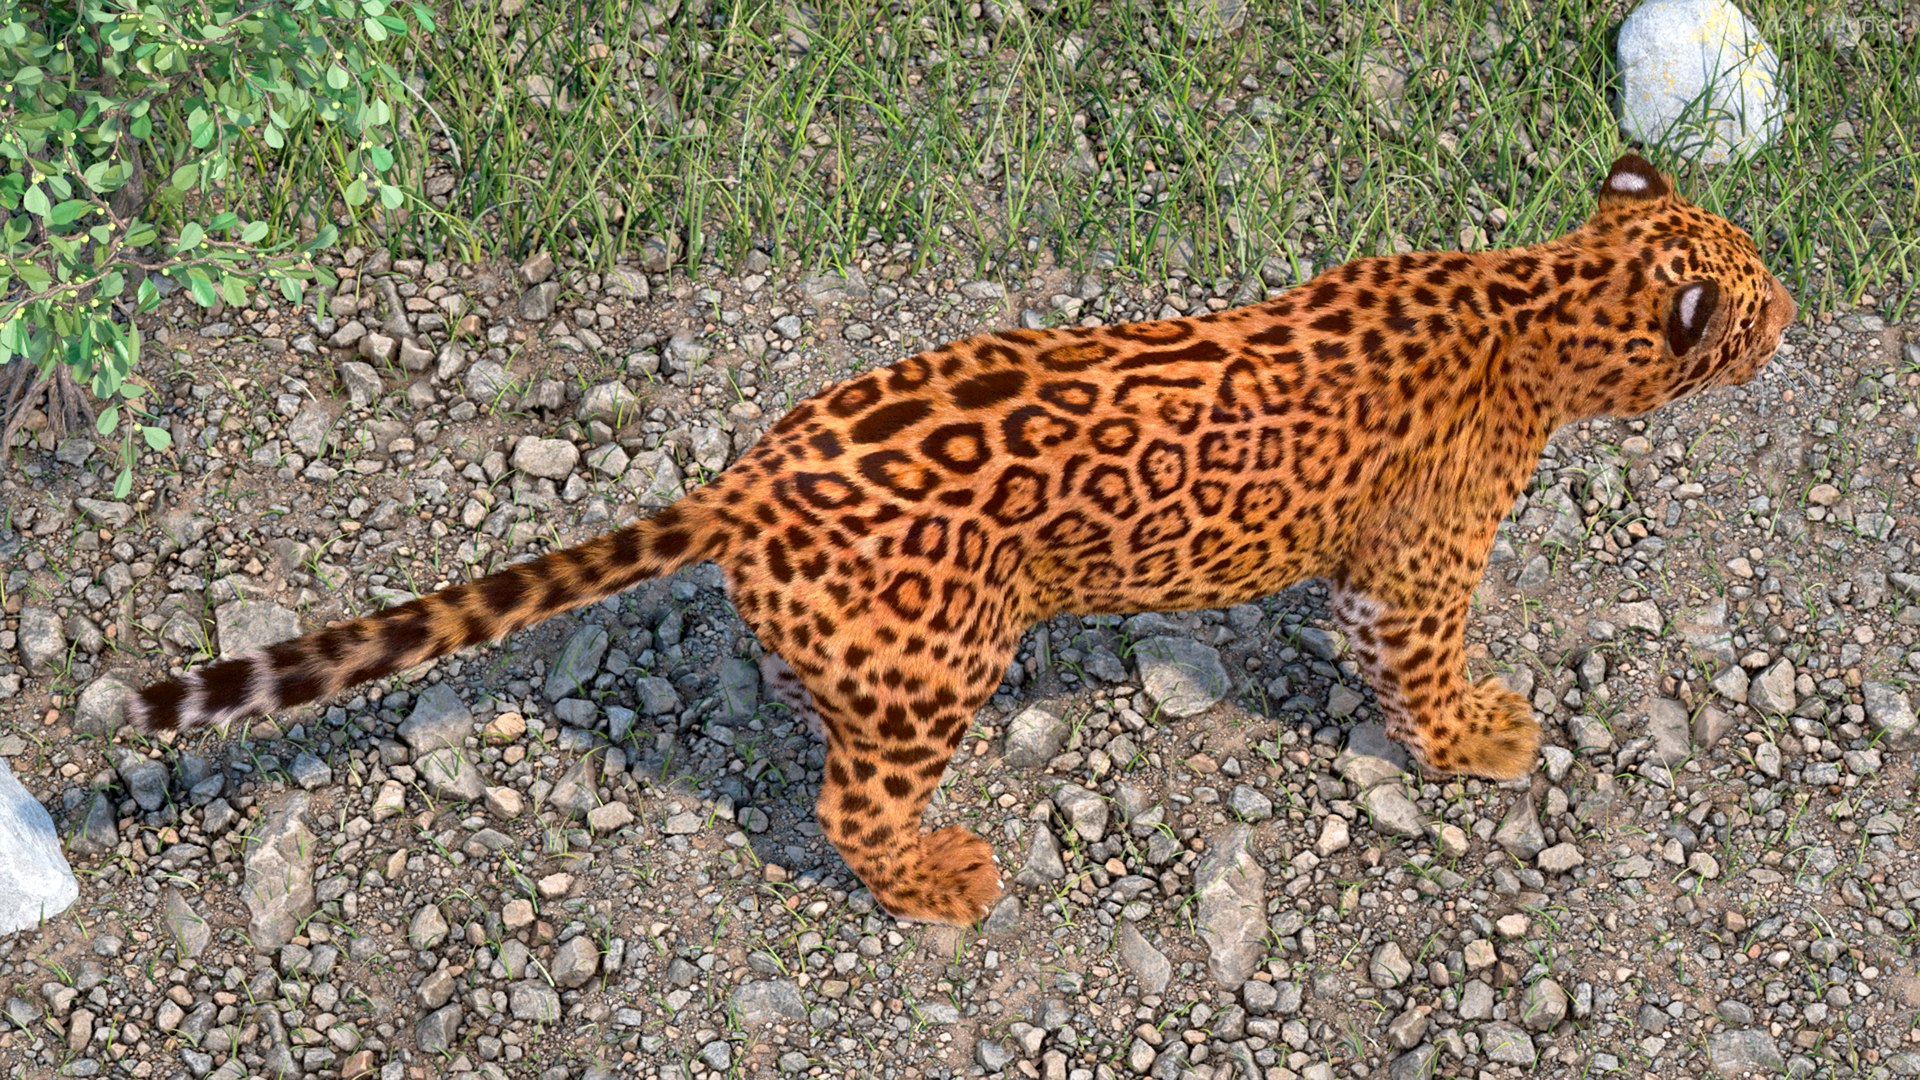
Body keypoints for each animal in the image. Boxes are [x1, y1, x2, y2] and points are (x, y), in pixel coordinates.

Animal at [127, 154, 1796, 926]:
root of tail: (750, 478)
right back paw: (940, 878)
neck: (1537, 300)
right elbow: (1429, 666)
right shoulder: (1420, 571)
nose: (1793, 316)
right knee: (850, 803)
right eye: (1762, 289)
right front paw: (1481, 739)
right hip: (930, 672)